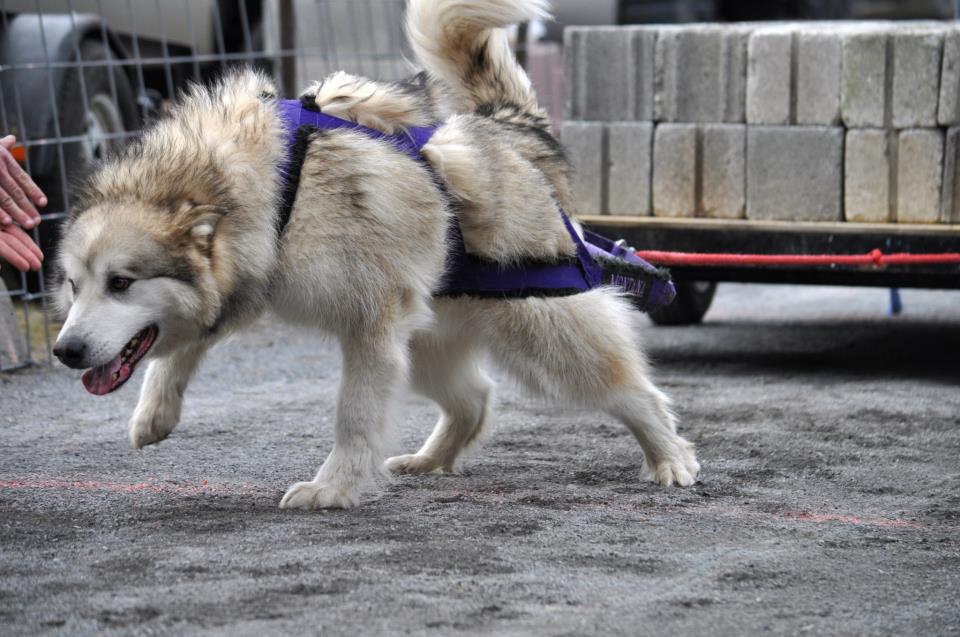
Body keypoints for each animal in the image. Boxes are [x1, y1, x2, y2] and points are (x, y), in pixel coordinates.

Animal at [50, 0, 696, 506]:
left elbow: (354, 416)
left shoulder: (370, 325)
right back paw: (432, 459)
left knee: (630, 388)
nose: (64, 351)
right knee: (475, 399)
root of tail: (508, 129)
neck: (270, 187)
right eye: (75, 285)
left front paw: (333, 489)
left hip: (542, 330)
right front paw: (156, 411)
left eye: (121, 283)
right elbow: (185, 344)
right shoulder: (257, 281)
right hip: (427, 343)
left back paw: (668, 454)